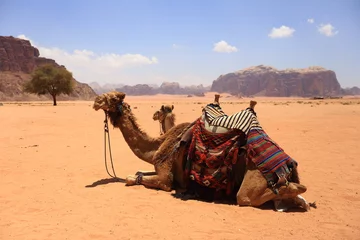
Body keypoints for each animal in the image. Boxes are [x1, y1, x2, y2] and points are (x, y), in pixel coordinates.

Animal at [93, 91, 312, 211]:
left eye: (112, 98)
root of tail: (287, 163)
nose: (95, 101)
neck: (158, 145)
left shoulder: (166, 179)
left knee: (248, 197)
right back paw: (300, 201)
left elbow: (133, 178)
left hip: (253, 179)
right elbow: (138, 172)